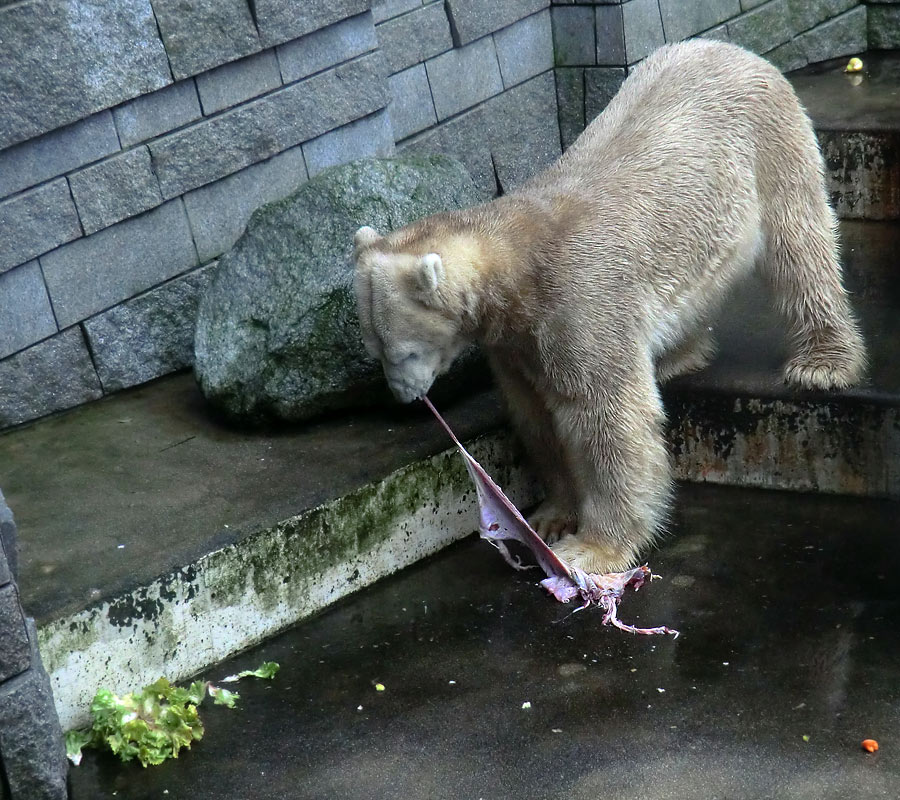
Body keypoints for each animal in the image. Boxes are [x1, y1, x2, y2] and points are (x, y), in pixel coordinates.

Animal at [352, 40, 864, 576]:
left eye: (404, 352)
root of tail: (734, 50)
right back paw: (676, 356)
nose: (404, 397)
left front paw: (591, 548)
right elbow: (535, 414)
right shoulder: (514, 339)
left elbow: (605, 417)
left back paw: (822, 362)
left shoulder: (578, 300)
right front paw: (551, 517)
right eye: (374, 349)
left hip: (768, 145)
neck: (516, 263)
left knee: (799, 248)